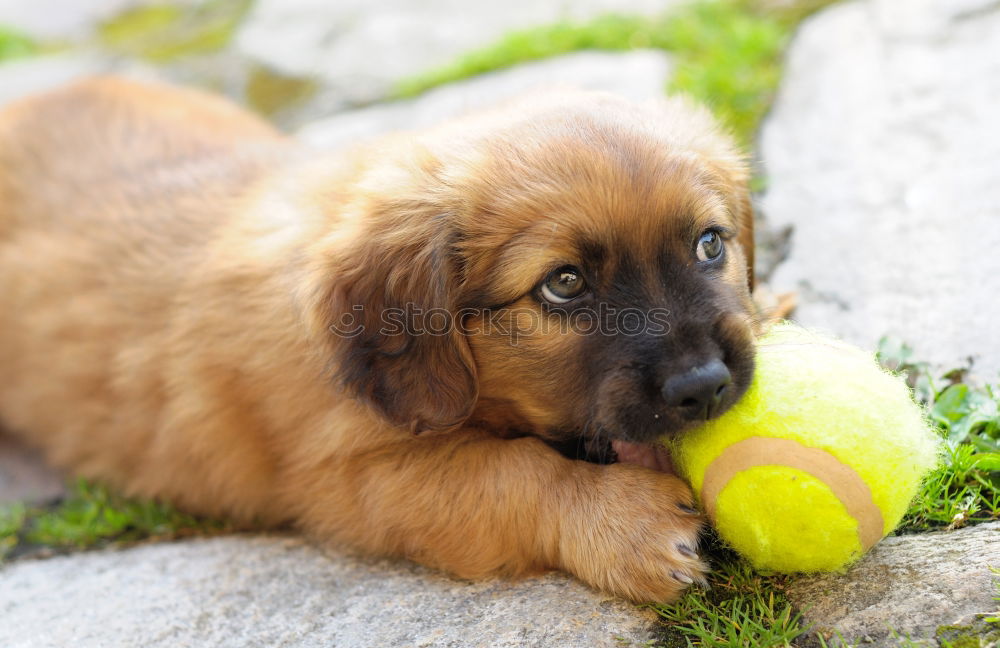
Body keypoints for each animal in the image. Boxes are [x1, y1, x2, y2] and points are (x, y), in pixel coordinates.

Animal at [0, 79, 752, 604]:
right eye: (564, 284)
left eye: (709, 243)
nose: (705, 386)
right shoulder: (350, 481)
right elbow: (514, 474)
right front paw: (623, 523)